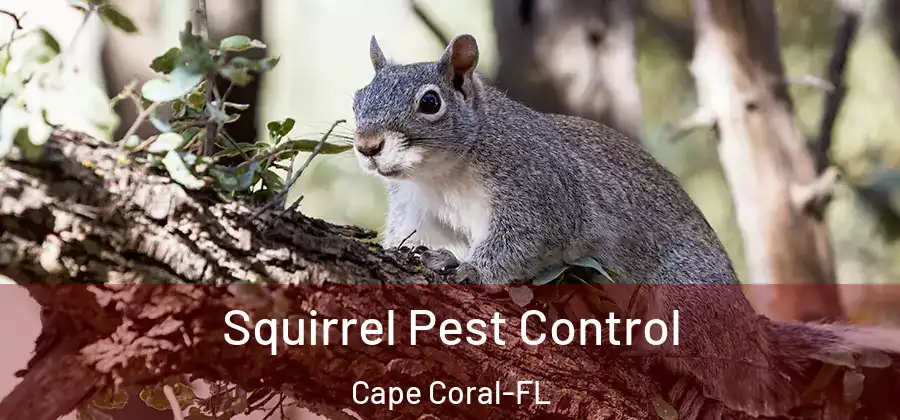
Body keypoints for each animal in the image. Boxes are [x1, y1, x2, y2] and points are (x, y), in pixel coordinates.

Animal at [351, 33, 736, 286]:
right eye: (357, 99)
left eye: (430, 102)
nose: (368, 146)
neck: (439, 175)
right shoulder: (418, 209)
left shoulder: (539, 189)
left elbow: (526, 240)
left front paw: (469, 269)